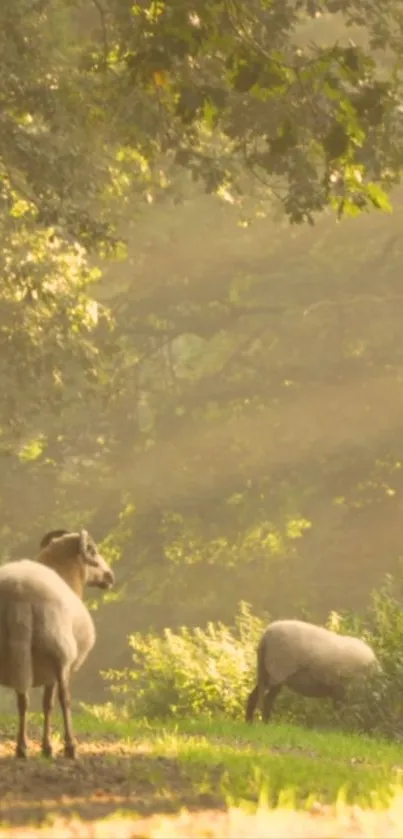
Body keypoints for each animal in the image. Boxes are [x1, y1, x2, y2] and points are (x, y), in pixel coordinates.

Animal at [0, 532, 115, 760]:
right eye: (93, 551)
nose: (110, 576)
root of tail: (19, 594)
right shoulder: (53, 668)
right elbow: (50, 704)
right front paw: (48, 746)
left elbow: (43, 704)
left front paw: (45, 746)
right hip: (58, 651)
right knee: (64, 699)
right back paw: (70, 746)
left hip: (17, 656)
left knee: (23, 701)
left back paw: (21, 747)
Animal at [245, 620, 380, 724]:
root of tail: (266, 636)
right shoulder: (346, 691)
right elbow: (342, 713)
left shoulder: (339, 692)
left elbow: (338, 711)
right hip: (278, 672)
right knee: (268, 700)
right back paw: (265, 723)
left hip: (265, 671)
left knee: (253, 696)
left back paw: (249, 722)